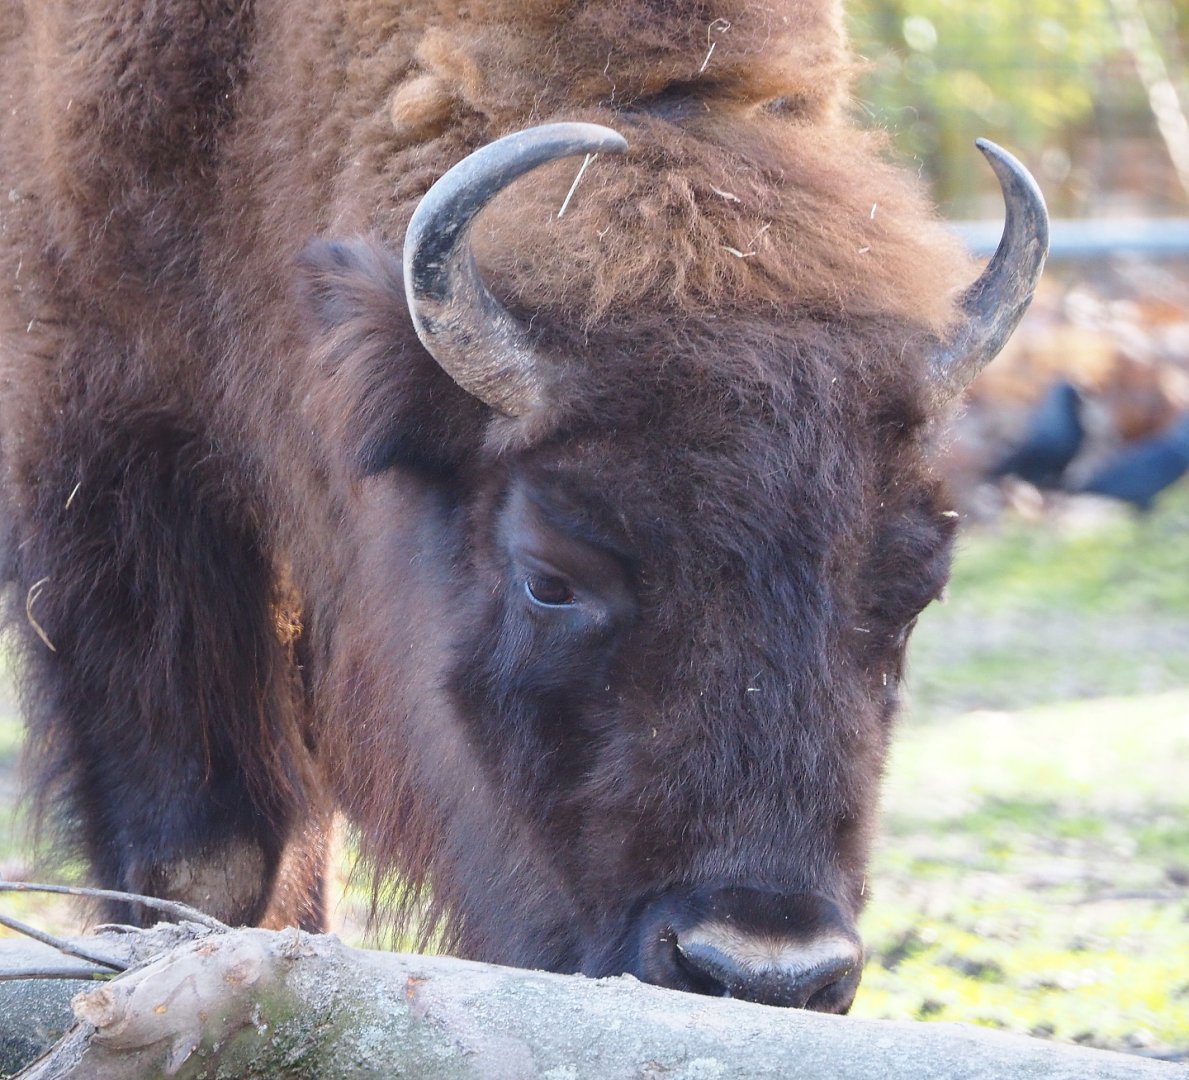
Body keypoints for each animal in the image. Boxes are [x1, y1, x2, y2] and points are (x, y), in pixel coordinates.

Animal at [0, 0, 1046, 1012]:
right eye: (551, 578)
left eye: (912, 595)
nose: (762, 975)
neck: (253, 75)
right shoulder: (109, 457)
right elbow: (205, 862)